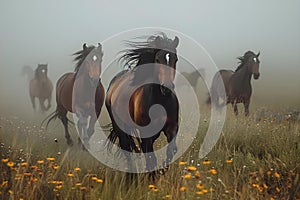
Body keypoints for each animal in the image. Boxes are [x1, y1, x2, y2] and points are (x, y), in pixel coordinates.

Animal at [105, 32, 179, 177]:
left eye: (175, 59)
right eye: (158, 59)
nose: (166, 88)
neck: (160, 101)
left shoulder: (172, 128)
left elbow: (171, 151)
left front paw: (162, 169)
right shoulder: (147, 134)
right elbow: (150, 158)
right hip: (120, 128)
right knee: (127, 150)